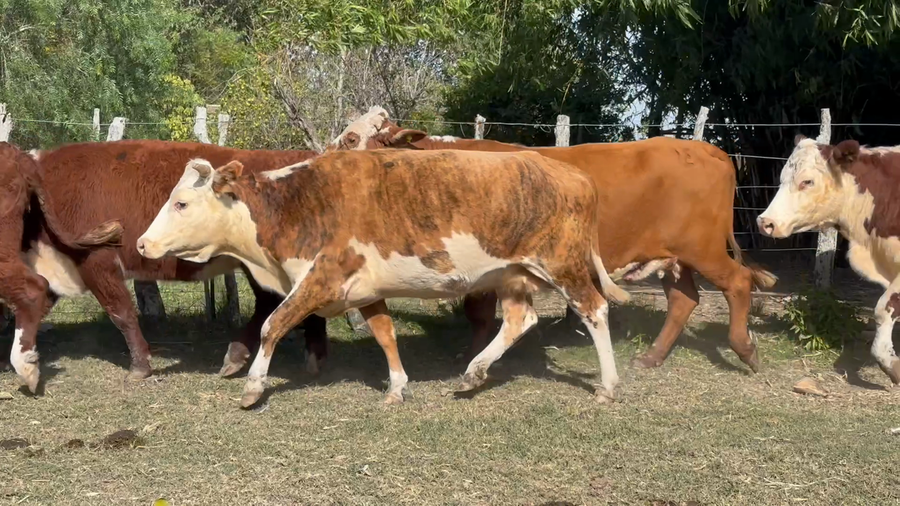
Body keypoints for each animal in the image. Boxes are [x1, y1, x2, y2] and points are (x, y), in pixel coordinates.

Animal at [136, 149, 632, 407]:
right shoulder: (364, 289)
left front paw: (254, 386)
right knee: (519, 320)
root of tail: (573, 173)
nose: (141, 243)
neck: (295, 204)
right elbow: (384, 333)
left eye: (181, 203)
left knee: (595, 310)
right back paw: (473, 373)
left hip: (562, 265)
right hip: (512, 275)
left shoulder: (321, 278)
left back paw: (607, 386)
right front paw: (396, 385)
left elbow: (272, 325)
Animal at [329, 107, 777, 372]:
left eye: (350, 139)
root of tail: (707, 150)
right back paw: (652, 356)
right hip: (676, 256)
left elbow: (479, 313)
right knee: (684, 301)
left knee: (738, 283)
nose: (323, 163)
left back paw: (745, 349)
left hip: (703, 249)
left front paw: (471, 357)